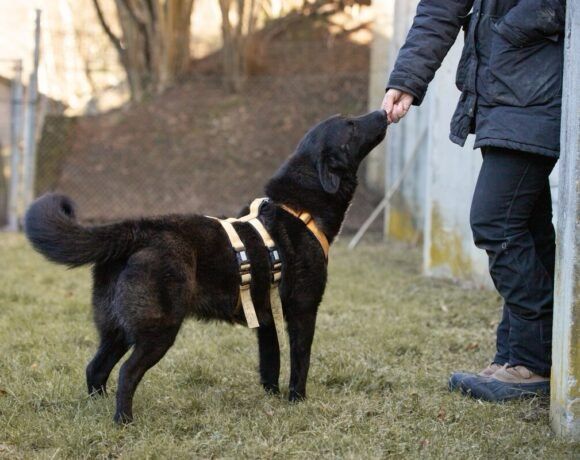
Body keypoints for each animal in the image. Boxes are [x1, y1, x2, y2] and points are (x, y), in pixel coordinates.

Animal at [23, 109, 386, 422]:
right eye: (351, 125)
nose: (383, 112)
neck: (299, 208)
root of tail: (138, 229)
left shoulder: (265, 317)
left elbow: (270, 363)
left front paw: (271, 399)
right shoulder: (302, 310)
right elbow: (300, 362)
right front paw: (297, 401)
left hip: (116, 330)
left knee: (95, 368)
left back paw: (97, 410)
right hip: (158, 331)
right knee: (126, 373)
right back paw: (123, 421)